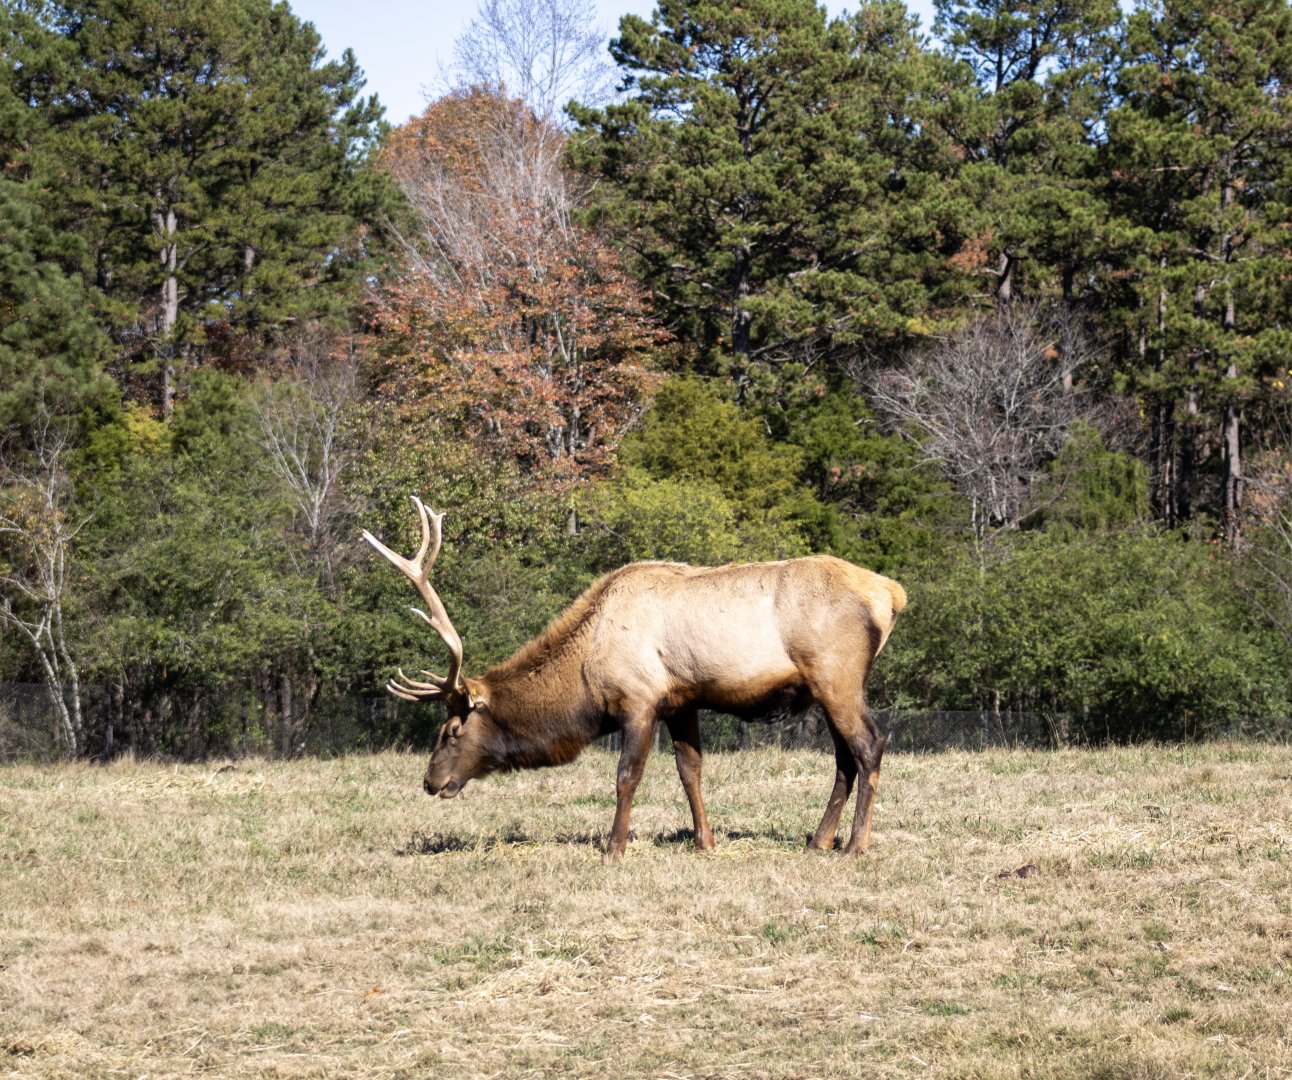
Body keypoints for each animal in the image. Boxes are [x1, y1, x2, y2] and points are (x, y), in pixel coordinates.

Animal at [363, 497, 907, 862]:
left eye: (452, 731)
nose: (431, 782)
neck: (585, 672)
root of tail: (891, 594)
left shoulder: (639, 700)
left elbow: (627, 775)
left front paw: (614, 847)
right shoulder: (683, 701)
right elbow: (691, 770)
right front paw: (704, 842)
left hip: (837, 675)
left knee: (870, 745)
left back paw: (855, 845)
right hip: (826, 687)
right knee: (844, 758)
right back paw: (818, 840)